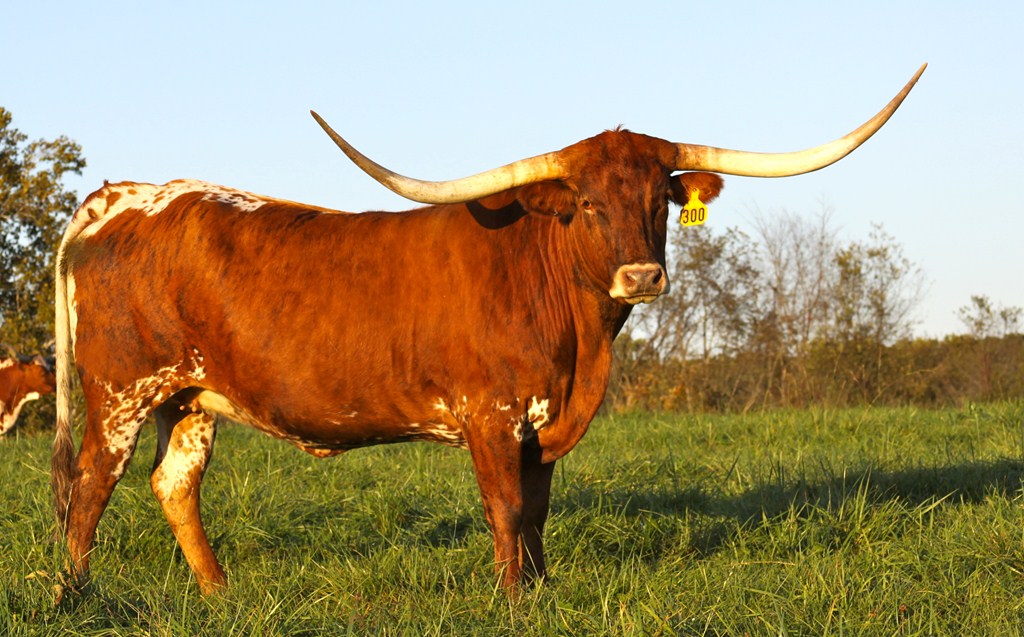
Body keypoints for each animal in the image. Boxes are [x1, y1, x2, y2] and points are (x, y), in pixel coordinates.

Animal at [51, 64, 925, 595]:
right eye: (588, 204)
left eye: (658, 200)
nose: (642, 276)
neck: (580, 346)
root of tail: (121, 196)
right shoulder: (491, 415)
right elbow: (504, 507)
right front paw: (510, 598)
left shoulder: (542, 425)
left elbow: (535, 511)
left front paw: (539, 591)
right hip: (121, 391)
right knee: (88, 486)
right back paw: (78, 594)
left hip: (190, 397)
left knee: (174, 483)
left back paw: (219, 593)